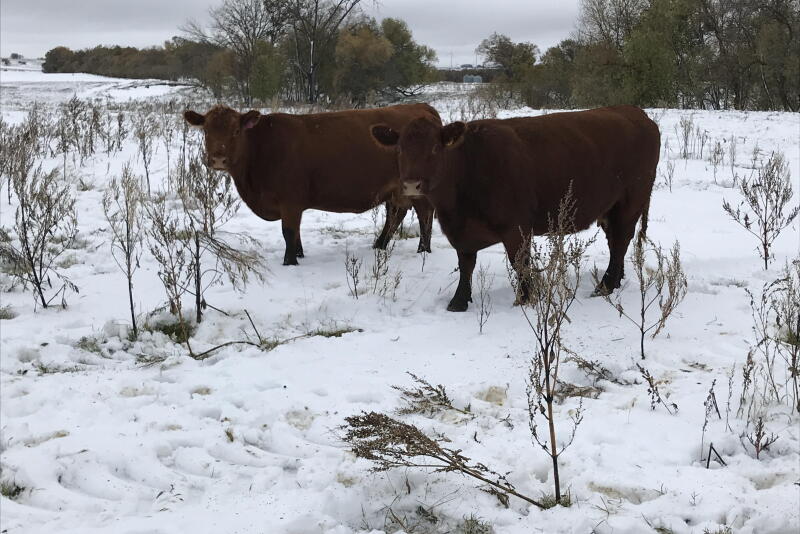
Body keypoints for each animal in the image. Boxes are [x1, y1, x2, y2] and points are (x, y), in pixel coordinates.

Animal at [183, 103, 440, 265]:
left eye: (236, 130)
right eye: (206, 131)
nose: (218, 159)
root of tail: (422, 107)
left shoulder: (290, 200)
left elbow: (288, 231)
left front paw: (289, 261)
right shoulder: (293, 204)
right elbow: (295, 232)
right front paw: (299, 254)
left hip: (417, 186)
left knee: (424, 214)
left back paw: (423, 250)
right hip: (397, 189)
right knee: (396, 213)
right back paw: (379, 245)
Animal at [371, 105, 660, 311]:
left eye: (433, 148)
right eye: (399, 149)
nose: (411, 184)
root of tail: (635, 112)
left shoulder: (516, 227)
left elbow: (520, 264)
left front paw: (525, 298)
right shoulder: (461, 232)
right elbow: (466, 264)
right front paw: (459, 301)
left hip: (630, 201)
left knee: (620, 241)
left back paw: (605, 286)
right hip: (612, 208)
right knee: (616, 243)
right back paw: (616, 280)